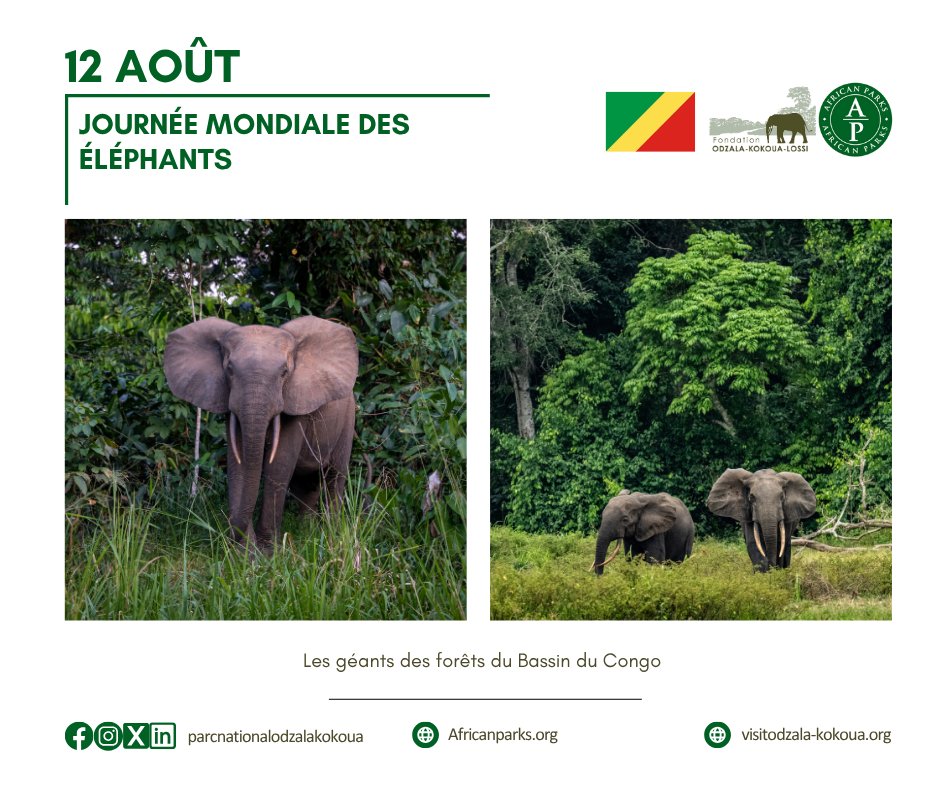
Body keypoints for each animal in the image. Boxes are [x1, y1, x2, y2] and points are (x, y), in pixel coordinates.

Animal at [164, 315, 359, 551]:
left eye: (284, 372)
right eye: (229, 369)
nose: (234, 537)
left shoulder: (293, 402)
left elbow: (279, 465)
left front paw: (267, 551)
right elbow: (239, 464)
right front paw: (244, 553)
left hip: (348, 418)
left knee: (335, 475)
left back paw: (331, 536)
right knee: (306, 484)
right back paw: (307, 531)